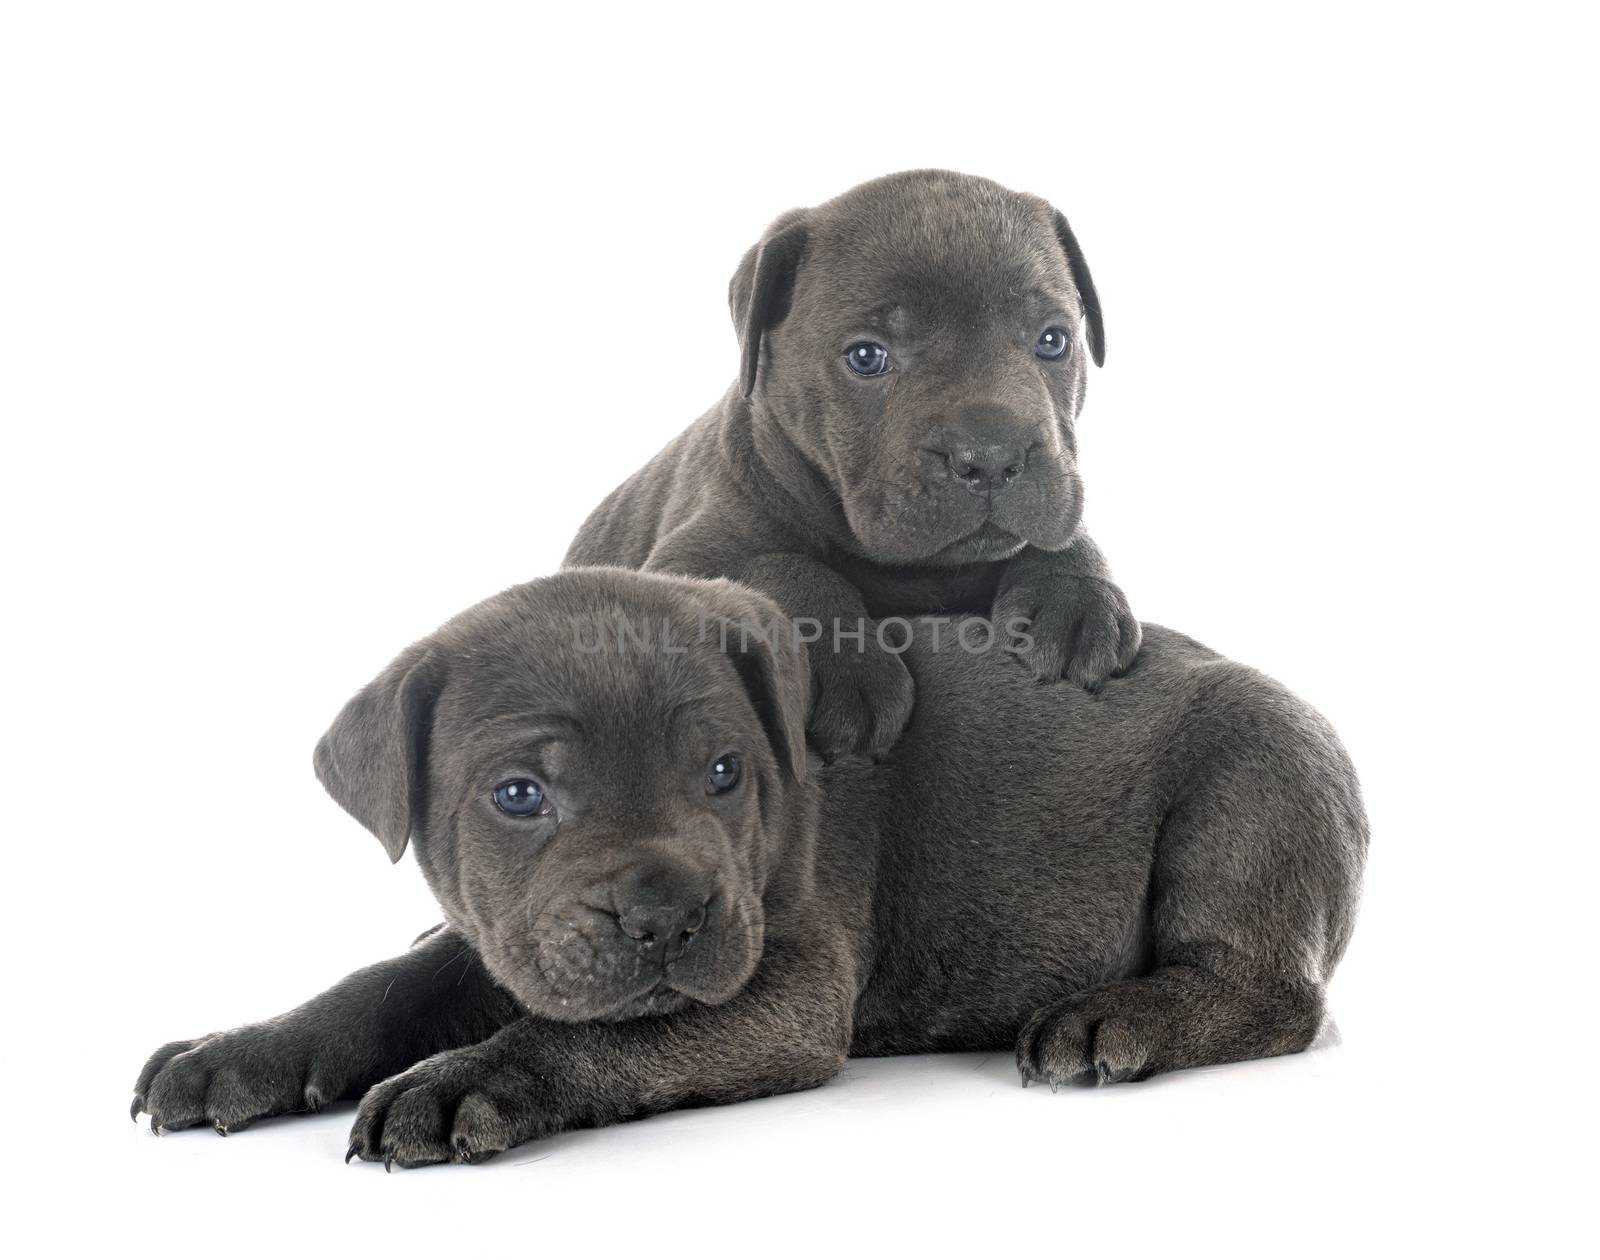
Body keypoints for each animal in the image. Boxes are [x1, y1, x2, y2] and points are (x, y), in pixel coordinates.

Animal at [131, 569, 1369, 1164]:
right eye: (519, 796)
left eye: (725, 772)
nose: (663, 915)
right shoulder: (501, 933)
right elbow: (381, 984)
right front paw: (239, 1049)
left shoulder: (789, 984)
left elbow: (607, 1038)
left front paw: (467, 1079)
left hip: (1251, 787)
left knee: (1272, 992)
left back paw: (1114, 1017)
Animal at [569, 167, 1145, 757]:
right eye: (866, 357)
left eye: (1053, 340)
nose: (991, 458)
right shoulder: (680, 562)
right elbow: (777, 567)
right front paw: (843, 666)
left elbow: (1063, 533)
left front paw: (1075, 594)